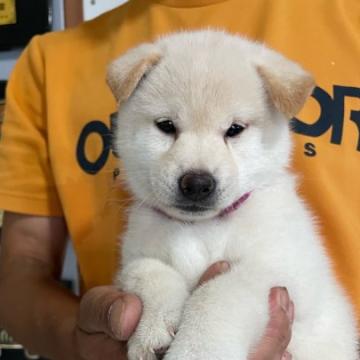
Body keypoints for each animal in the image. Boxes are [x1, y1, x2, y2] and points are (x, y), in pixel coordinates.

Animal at [106, 31, 358, 360]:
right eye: (166, 126)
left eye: (234, 129)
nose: (197, 183)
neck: (199, 228)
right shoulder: (135, 256)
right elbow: (146, 271)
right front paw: (152, 327)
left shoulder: (280, 272)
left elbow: (217, 294)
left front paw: (198, 350)